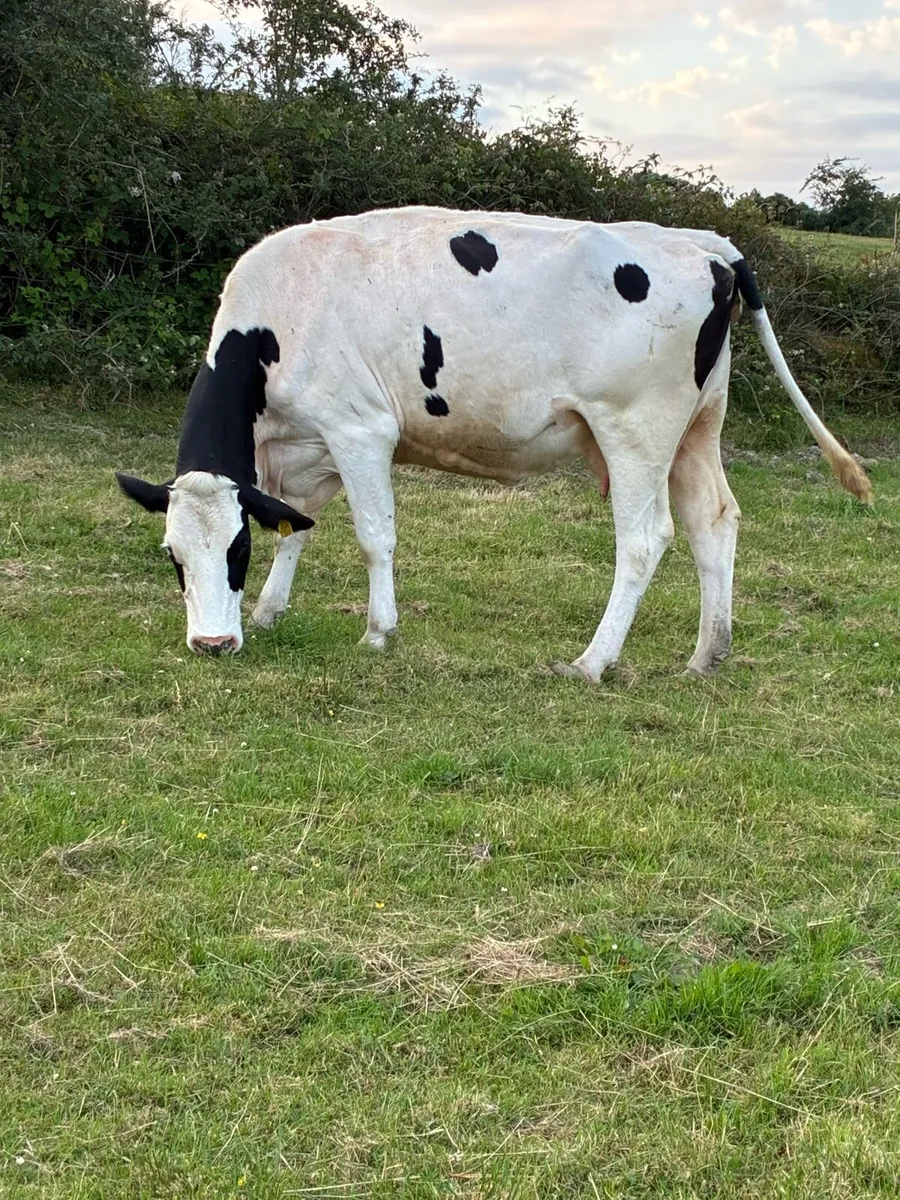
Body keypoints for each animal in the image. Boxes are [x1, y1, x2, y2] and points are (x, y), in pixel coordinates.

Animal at [116, 206, 871, 679]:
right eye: (173, 556)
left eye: (234, 551)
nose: (212, 643)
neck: (274, 324)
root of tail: (702, 243)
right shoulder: (305, 452)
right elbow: (297, 526)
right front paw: (271, 611)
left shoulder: (360, 428)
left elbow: (372, 536)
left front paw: (379, 631)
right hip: (697, 428)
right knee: (713, 521)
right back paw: (707, 655)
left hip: (636, 428)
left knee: (646, 536)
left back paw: (593, 662)